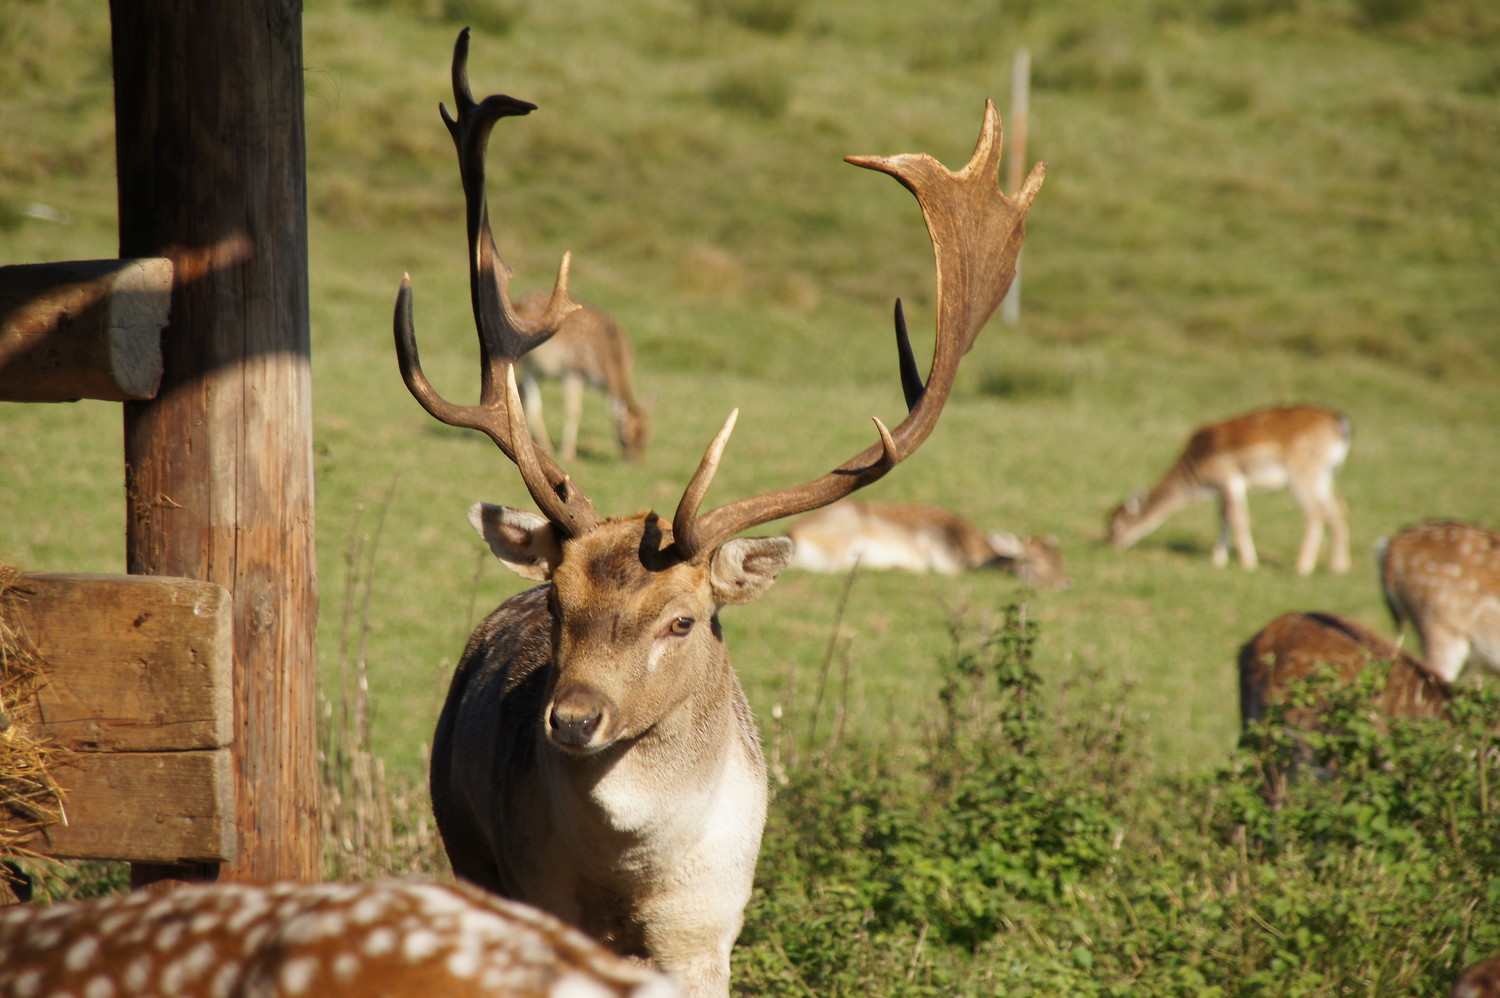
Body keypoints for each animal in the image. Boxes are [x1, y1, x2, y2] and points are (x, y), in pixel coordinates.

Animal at [514, 292, 651, 462]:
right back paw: (545, 445)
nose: (636, 461)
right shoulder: (573, 371)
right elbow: (573, 410)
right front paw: (567, 453)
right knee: (531, 400)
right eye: (626, 437)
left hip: (539, 370)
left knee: (522, 390)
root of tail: (517, 302)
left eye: (647, 437)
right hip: (524, 360)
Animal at [785, 499, 1070, 588]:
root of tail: (793, 531)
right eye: (1033, 560)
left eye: (1060, 559)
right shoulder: (938, 546)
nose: (1065, 583)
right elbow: (950, 571)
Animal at [1106, 404, 1351, 575]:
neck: (1196, 481)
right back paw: (1338, 567)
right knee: (1338, 507)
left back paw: (1302, 567)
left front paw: (1248, 564)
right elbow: (1222, 517)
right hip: (1325, 475)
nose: (1111, 545)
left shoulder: (1228, 477)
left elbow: (1238, 519)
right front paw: (1218, 560)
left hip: (1304, 471)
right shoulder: (1221, 489)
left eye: (1117, 526)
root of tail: (1340, 423)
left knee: (1316, 511)